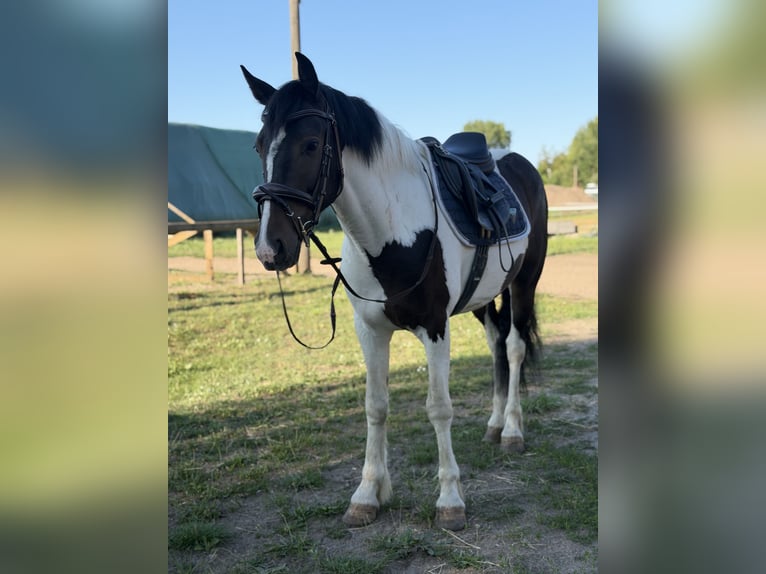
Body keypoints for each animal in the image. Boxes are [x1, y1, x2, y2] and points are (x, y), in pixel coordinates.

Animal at [240, 53, 548, 531]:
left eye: (310, 144)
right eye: (259, 146)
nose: (270, 249)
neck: (392, 231)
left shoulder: (436, 328)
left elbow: (439, 407)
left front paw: (450, 500)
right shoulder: (369, 329)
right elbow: (376, 406)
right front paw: (368, 494)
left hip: (523, 282)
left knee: (514, 347)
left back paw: (513, 430)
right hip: (482, 299)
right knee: (497, 343)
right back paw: (496, 425)